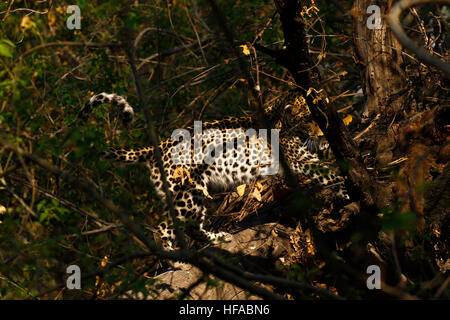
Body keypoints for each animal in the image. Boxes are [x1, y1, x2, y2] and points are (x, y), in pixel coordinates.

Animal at [77, 91, 350, 249]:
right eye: (307, 120)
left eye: (319, 117)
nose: (322, 134)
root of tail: (157, 147)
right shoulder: (299, 159)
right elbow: (330, 173)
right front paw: (349, 191)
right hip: (186, 194)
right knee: (165, 227)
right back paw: (178, 262)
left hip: (190, 194)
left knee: (191, 227)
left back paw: (217, 239)